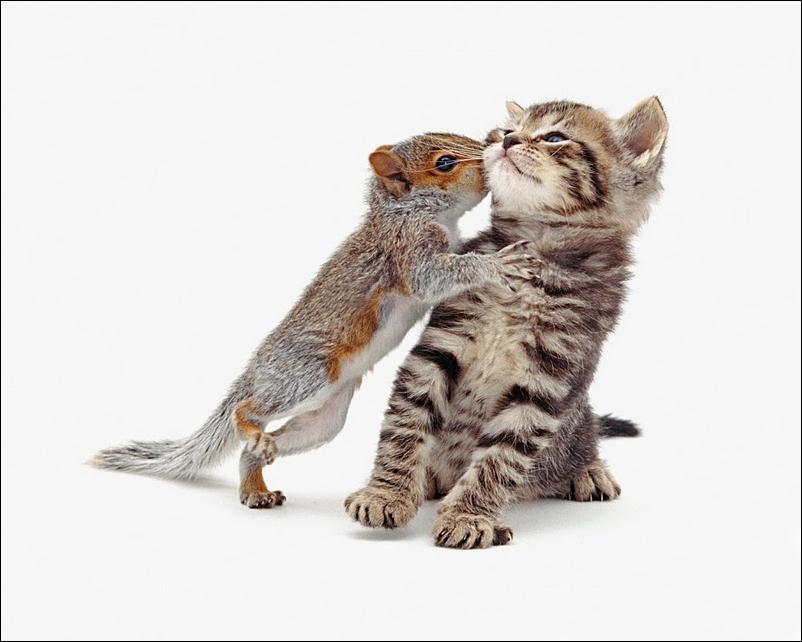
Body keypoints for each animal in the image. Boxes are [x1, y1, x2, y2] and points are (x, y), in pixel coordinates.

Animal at [92, 132, 540, 509]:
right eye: (445, 162)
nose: (492, 148)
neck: (405, 213)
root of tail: (254, 373)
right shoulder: (407, 252)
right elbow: (434, 277)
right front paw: (495, 264)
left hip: (324, 422)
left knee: (253, 450)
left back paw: (255, 485)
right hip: (305, 374)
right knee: (249, 412)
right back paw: (248, 424)